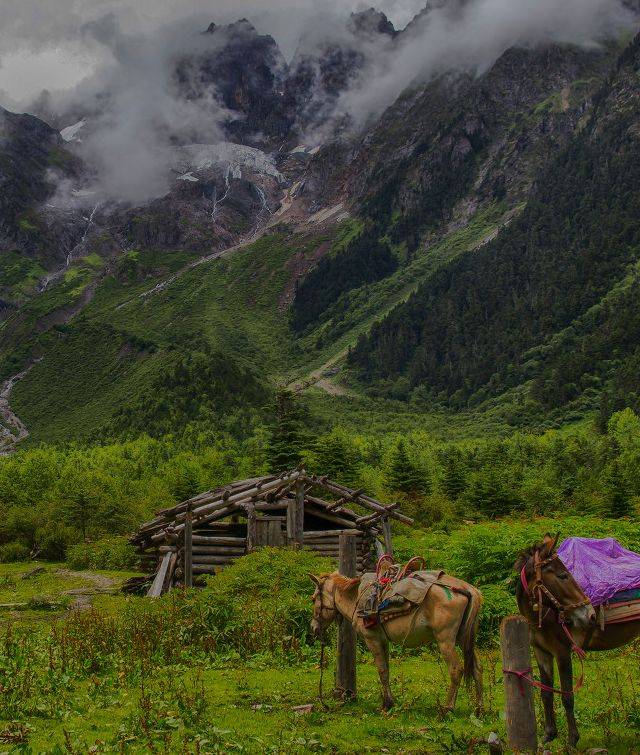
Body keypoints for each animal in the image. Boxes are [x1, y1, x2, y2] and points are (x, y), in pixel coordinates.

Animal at [308, 572, 480, 716]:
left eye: (313, 598)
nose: (313, 628)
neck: (357, 598)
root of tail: (468, 589)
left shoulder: (373, 640)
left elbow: (382, 671)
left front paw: (387, 704)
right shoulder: (384, 641)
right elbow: (387, 671)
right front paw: (389, 701)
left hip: (445, 641)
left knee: (456, 669)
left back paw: (447, 708)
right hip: (463, 639)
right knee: (477, 669)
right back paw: (479, 710)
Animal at [516, 536, 640, 748]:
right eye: (563, 576)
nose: (590, 615)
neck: (546, 614)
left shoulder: (563, 652)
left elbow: (567, 696)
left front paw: (572, 739)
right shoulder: (542, 652)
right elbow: (546, 693)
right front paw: (549, 735)